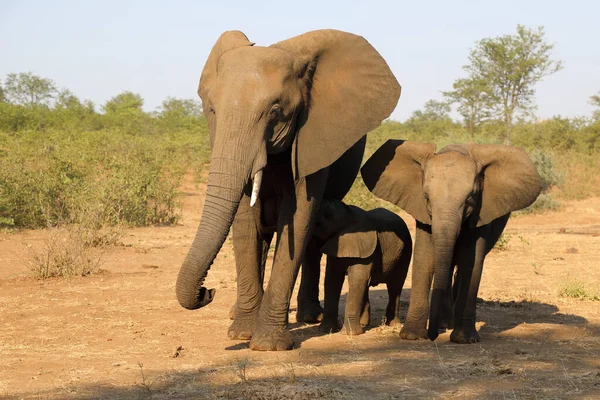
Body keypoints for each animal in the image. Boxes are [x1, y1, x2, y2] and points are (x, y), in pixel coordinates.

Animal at [175, 29, 398, 352]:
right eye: (212, 110)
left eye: (276, 111)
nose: (208, 291)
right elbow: (245, 220)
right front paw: (241, 334)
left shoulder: (314, 136)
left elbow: (298, 215)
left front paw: (268, 344)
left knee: (312, 237)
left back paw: (309, 316)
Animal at [314, 199, 412, 334]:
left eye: (325, 215)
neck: (347, 214)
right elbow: (332, 279)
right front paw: (326, 330)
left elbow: (357, 279)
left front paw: (349, 333)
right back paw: (363, 323)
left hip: (405, 251)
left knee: (395, 285)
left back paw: (392, 324)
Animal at [360, 141, 544, 344]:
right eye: (426, 197)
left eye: (470, 198)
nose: (432, 337)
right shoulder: (422, 212)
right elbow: (425, 258)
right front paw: (412, 336)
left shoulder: (481, 212)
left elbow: (471, 262)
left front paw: (465, 339)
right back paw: (444, 323)